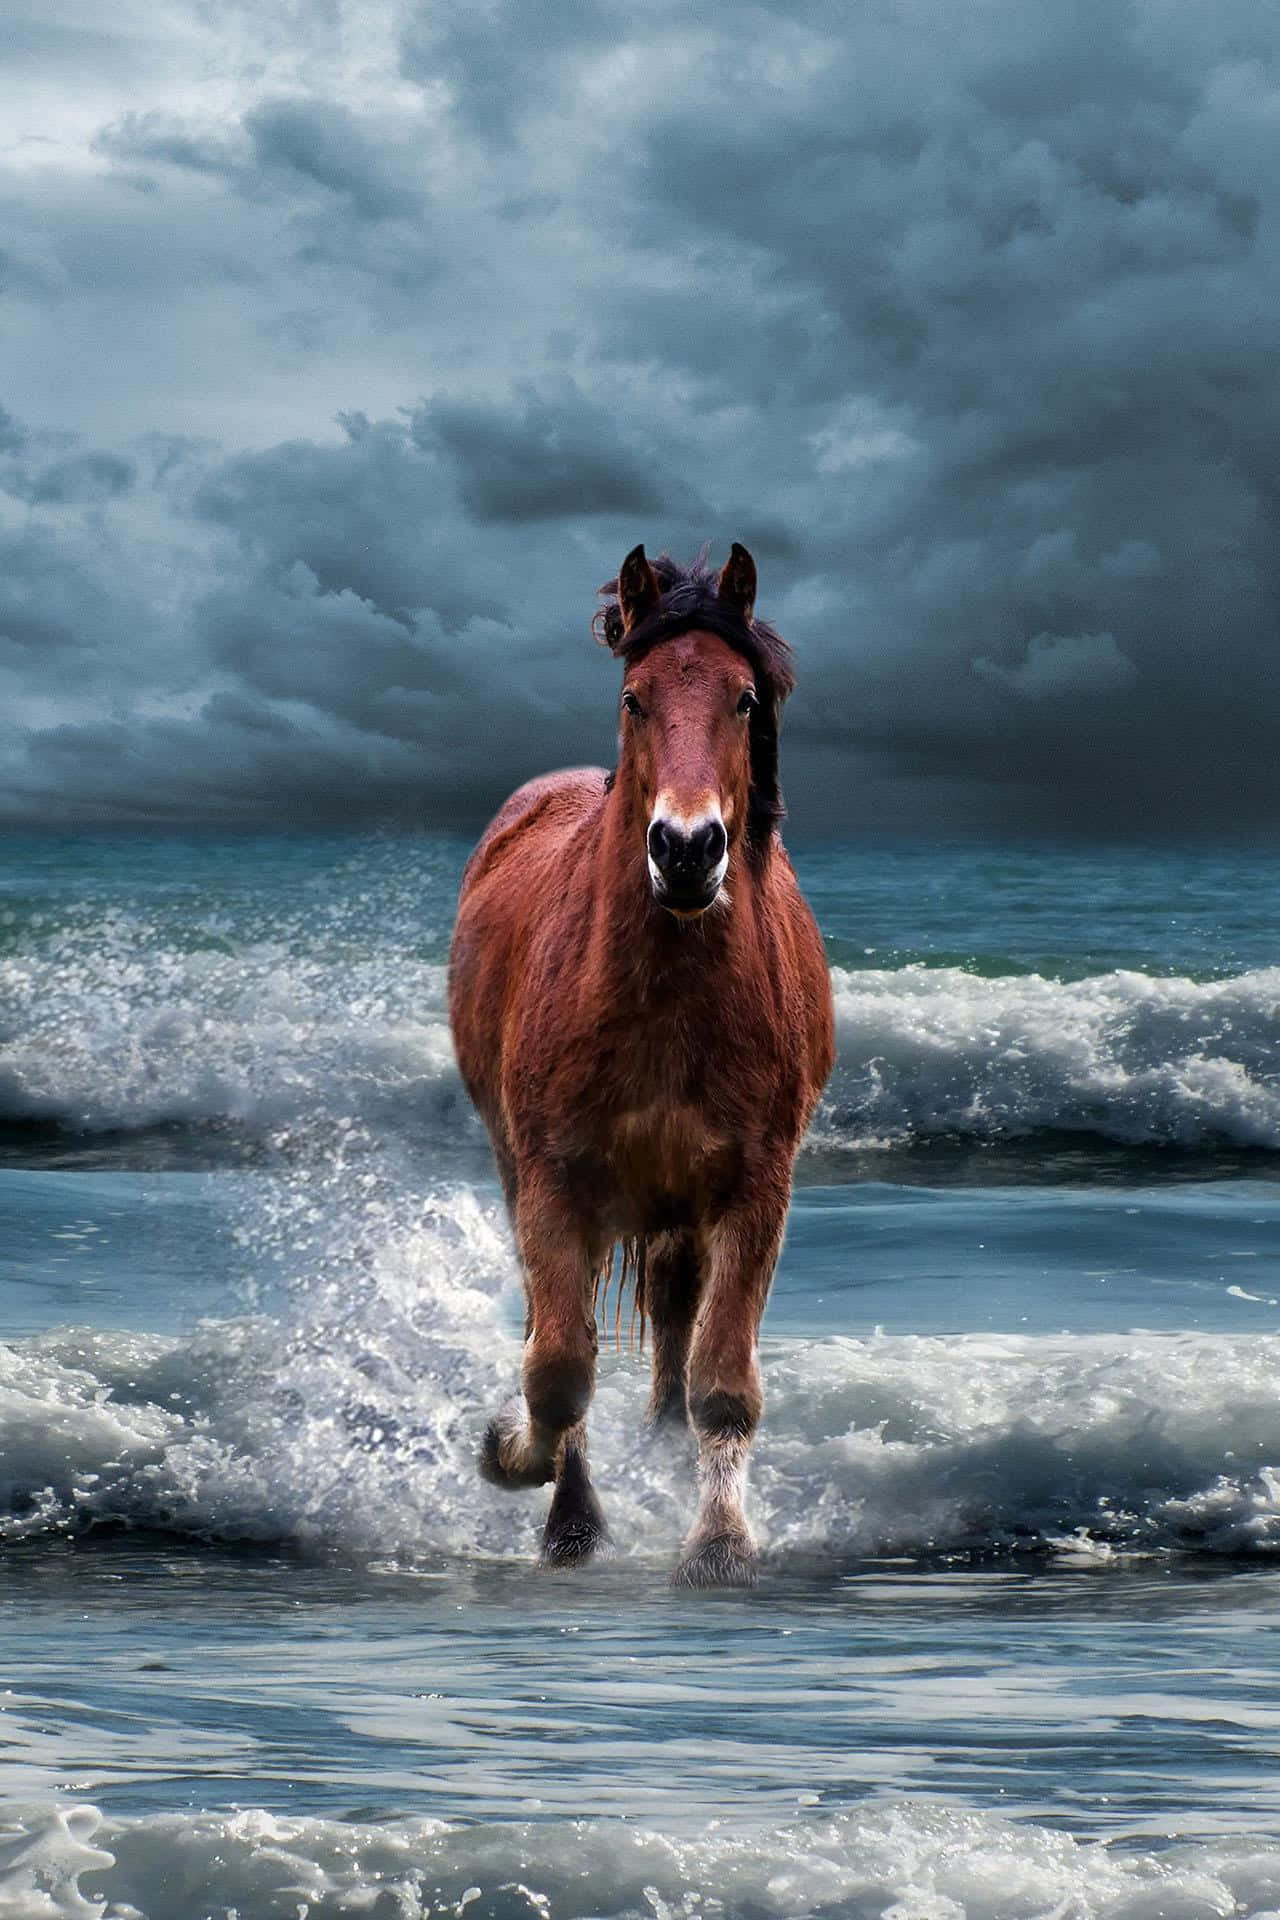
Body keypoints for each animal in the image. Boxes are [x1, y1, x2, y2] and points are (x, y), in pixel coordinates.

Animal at [448, 543, 834, 1586]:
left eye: (744, 698)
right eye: (634, 697)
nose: (688, 849)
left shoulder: (755, 1190)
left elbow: (722, 1379)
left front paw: (720, 1542)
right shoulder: (554, 1183)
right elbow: (557, 1368)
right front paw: (528, 1476)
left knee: (672, 1317)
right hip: (523, 1168)